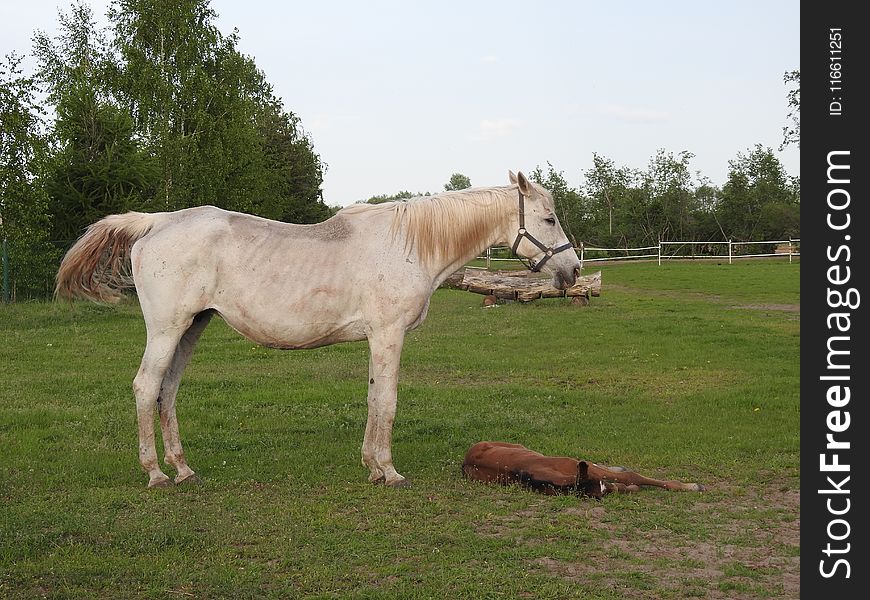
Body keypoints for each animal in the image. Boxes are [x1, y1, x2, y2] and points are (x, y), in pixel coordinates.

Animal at [58, 170, 584, 488]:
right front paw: (389, 471)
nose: (573, 270)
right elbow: (387, 400)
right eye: (549, 217)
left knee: (167, 391)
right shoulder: (388, 334)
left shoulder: (377, 338)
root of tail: (156, 222)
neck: (409, 244)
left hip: (191, 327)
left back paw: (184, 469)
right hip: (167, 329)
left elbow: (372, 397)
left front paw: (371, 466)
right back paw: (155, 474)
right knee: (147, 387)